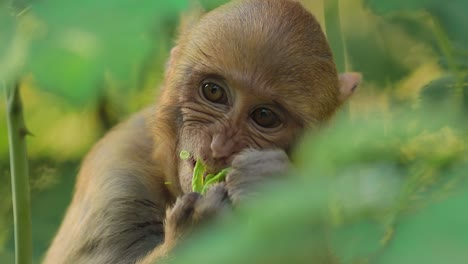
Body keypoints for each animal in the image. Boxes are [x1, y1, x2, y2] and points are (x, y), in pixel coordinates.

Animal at [44, 0, 360, 262]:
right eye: (213, 91)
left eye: (264, 116)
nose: (219, 146)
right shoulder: (117, 167)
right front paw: (200, 234)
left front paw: (274, 194)